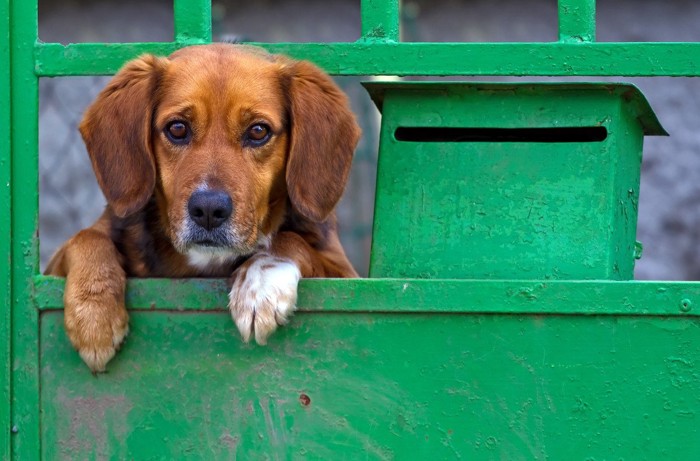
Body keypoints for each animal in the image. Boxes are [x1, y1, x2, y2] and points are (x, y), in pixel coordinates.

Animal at [45, 43, 360, 372]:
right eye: (177, 128)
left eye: (258, 131)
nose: (209, 210)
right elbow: (86, 238)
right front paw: (93, 315)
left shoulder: (346, 275)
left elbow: (291, 240)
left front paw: (260, 283)